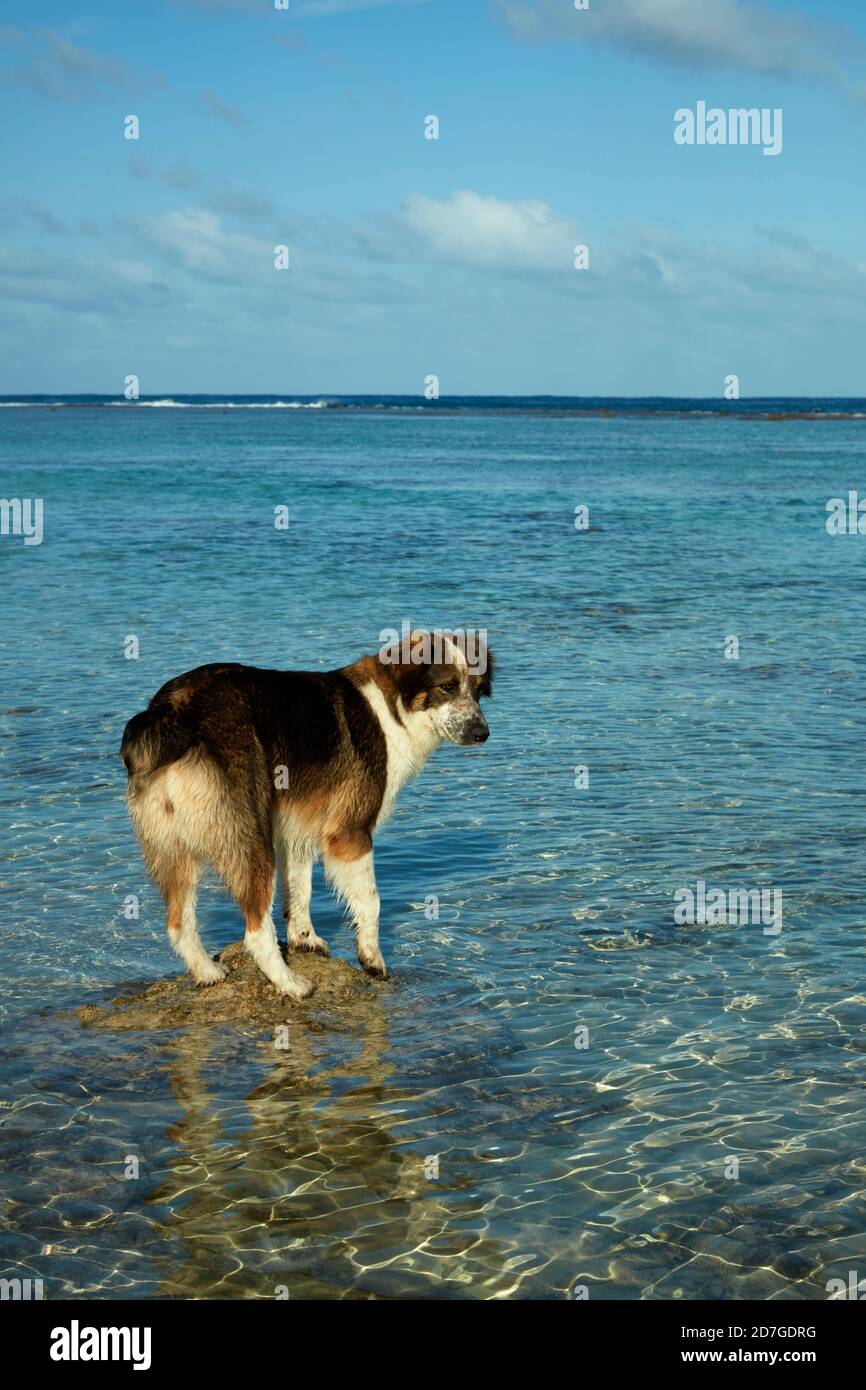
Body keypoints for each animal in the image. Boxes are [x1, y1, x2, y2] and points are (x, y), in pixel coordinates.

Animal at [120, 631, 494, 1000]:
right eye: (448, 685)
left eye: (478, 690)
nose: (482, 734)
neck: (392, 709)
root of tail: (171, 711)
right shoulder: (349, 832)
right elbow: (371, 901)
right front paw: (372, 959)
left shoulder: (294, 830)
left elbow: (300, 890)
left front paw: (305, 940)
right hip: (251, 840)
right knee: (255, 930)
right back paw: (289, 983)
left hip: (174, 848)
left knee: (178, 924)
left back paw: (208, 972)